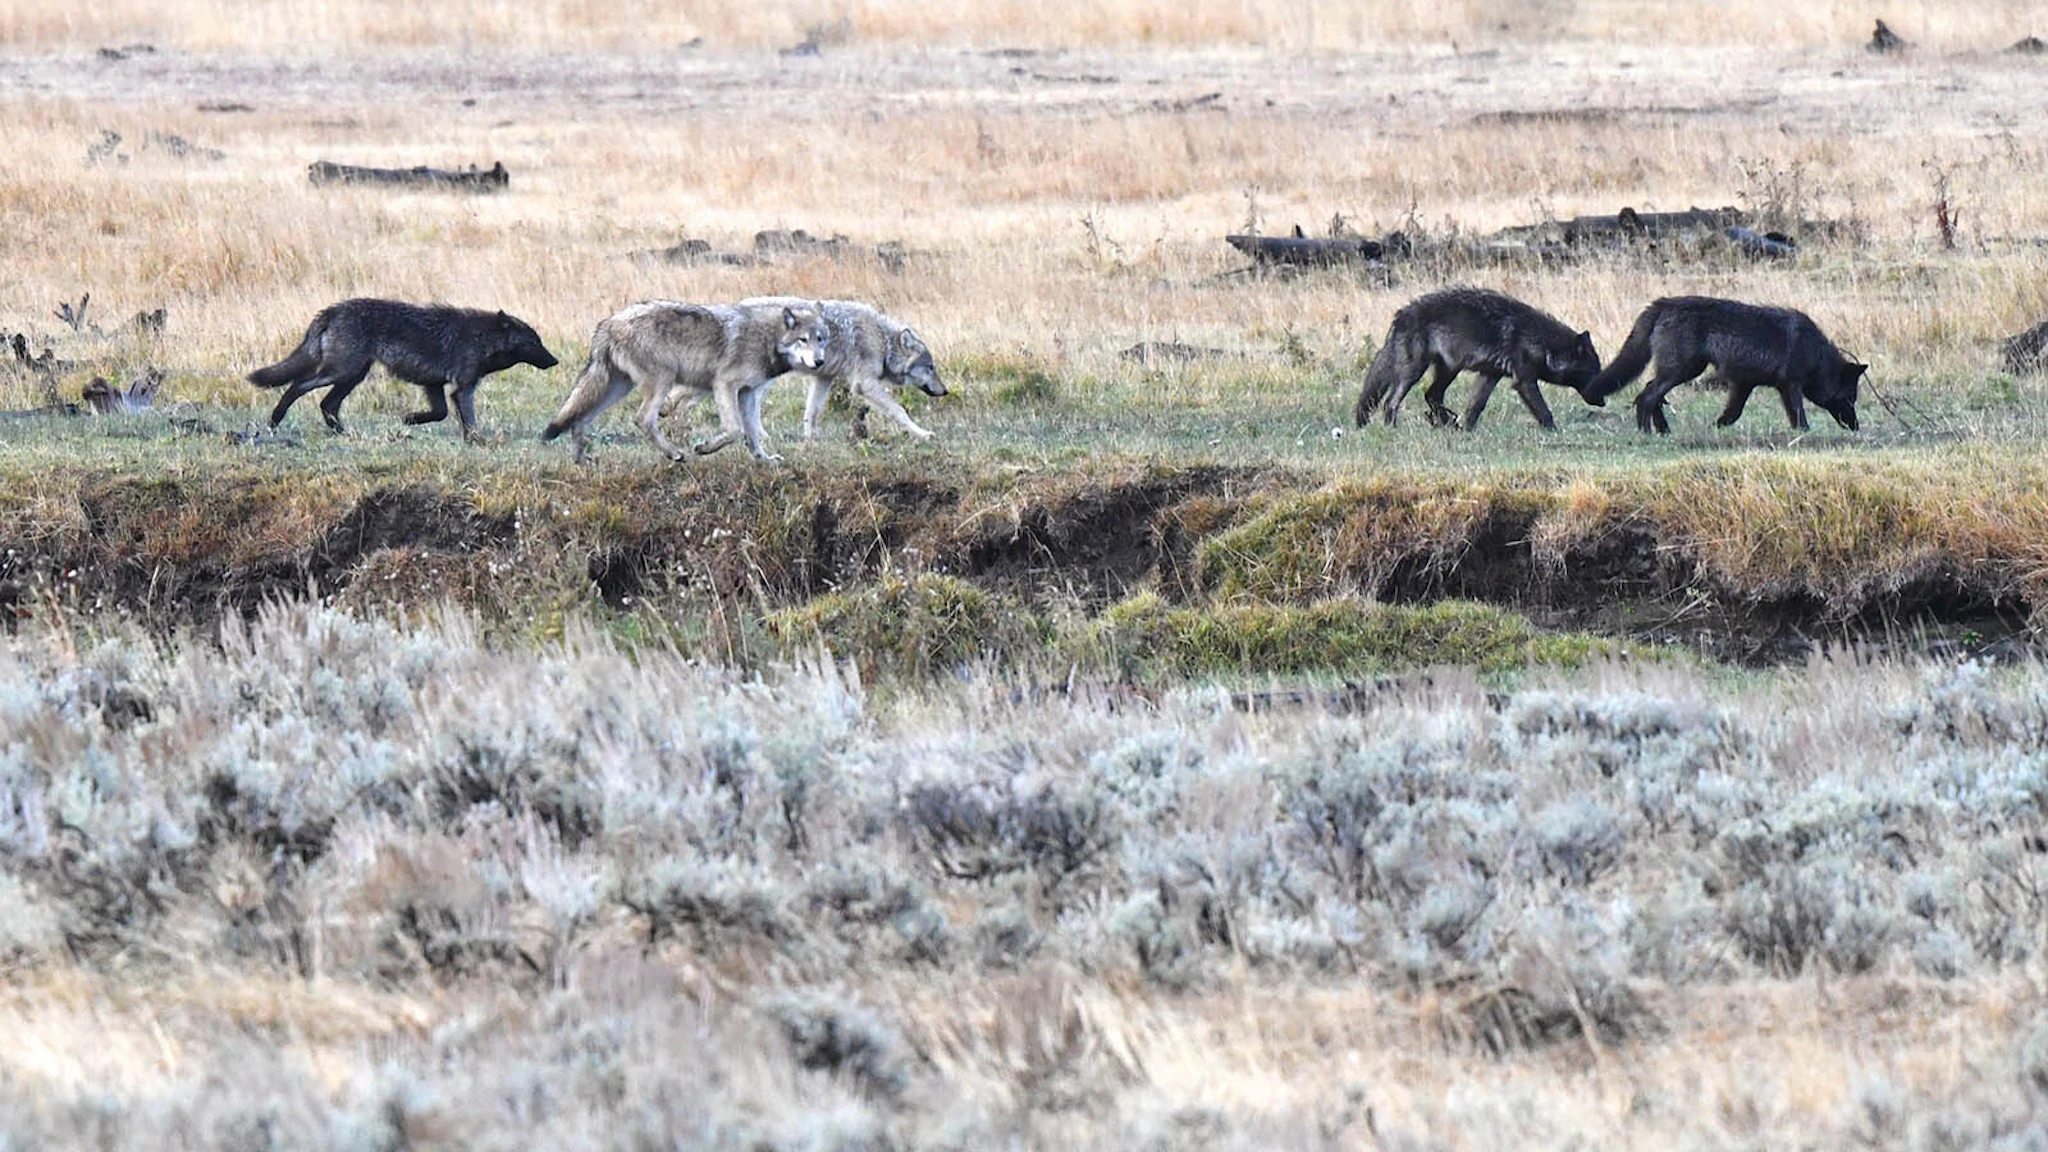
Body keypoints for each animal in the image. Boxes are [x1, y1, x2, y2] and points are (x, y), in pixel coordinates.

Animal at [248, 299, 557, 441]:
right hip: (340, 372)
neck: (481, 338)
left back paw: (344, 434)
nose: (554, 361)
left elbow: (440, 413)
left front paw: (410, 419)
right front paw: (476, 442)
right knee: (297, 386)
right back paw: (275, 420)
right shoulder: (462, 388)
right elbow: (468, 420)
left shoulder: (434, 385)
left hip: (352, 376)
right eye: (535, 342)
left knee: (327, 404)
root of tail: (332, 310)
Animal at [539, 299, 828, 463]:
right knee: (642, 419)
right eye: (803, 340)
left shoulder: (748, 393)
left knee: (580, 418)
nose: (819, 362)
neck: (767, 337)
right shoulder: (724, 385)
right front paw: (704, 448)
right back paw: (674, 453)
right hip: (661, 381)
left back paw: (581, 461)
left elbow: (752, 434)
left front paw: (764, 460)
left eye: (821, 339)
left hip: (618, 388)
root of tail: (608, 323)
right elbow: (734, 430)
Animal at [731, 297, 945, 440]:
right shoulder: (865, 384)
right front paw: (923, 434)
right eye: (930, 367)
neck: (883, 342)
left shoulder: (824, 378)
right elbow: (899, 411)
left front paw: (811, 441)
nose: (945, 391)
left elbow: (812, 413)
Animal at [1352, 288, 1603, 431]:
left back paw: (1447, 423)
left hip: (1448, 370)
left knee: (1431, 395)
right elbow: (1544, 411)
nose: (1603, 402)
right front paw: (1554, 431)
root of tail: (1400, 315)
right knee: (1391, 402)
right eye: (1592, 373)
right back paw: (1393, 429)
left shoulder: (1490, 375)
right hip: (1413, 373)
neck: (1539, 340)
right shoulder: (1523, 381)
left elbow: (1475, 406)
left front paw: (1467, 430)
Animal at [1584, 296, 1864, 434]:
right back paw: (1647, 432)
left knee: (1651, 394)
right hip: (1683, 371)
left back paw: (1663, 430)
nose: (1856, 428)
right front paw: (1805, 433)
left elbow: (1731, 414)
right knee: (1647, 396)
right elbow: (1799, 415)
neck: (1817, 356)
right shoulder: (1791, 385)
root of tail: (1663, 303)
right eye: (1849, 399)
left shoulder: (1744, 385)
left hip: (1684, 371)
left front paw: (1715, 428)